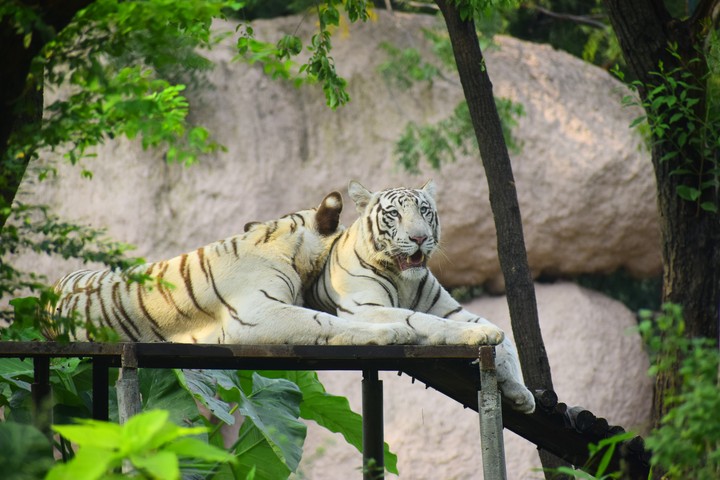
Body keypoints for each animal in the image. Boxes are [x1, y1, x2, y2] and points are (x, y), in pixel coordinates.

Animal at [306, 181, 536, 413]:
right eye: (394, 213)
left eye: (424, 210)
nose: (419, 238)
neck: (404, 279)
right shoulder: (364, 308)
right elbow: (425, 320)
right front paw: (482, 333)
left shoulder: (451, 309)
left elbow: (507, 342)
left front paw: (520, 391)